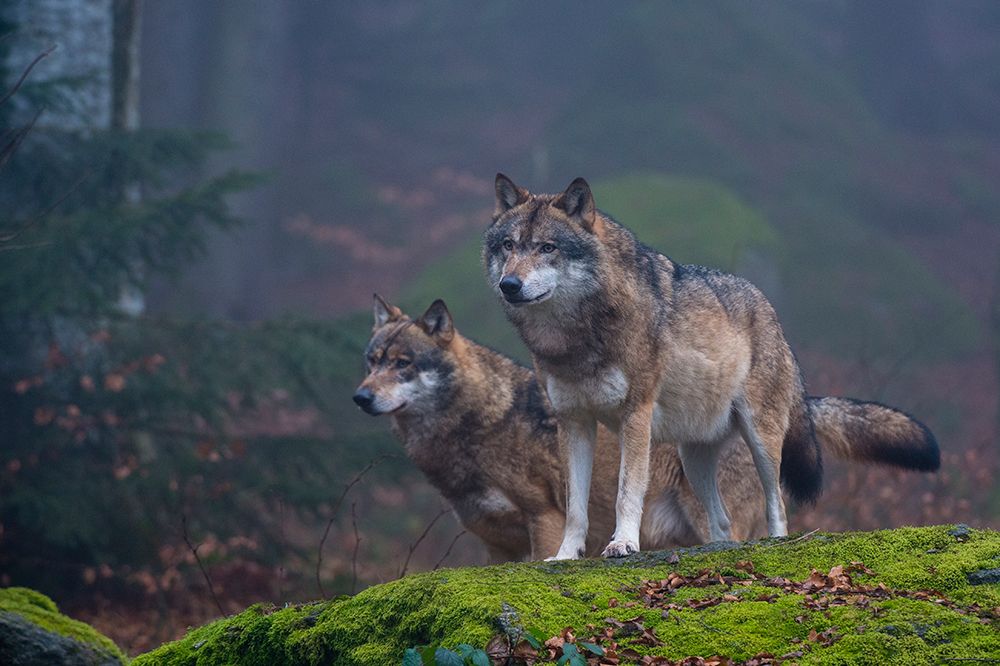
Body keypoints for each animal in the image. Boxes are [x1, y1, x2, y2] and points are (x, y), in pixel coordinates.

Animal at [484, 174, 939, 559]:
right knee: (722, 525)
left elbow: (627, 491)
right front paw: (564, 556)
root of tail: (769, 310)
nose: (509, 285)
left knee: (778, 505)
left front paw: (623, 544)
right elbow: (575, 507)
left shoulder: (636, 415)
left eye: (547, 248)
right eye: (508, 246)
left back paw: (776, 542)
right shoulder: (574, 421)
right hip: (694, 460)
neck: (574, 338)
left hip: (761, 439)